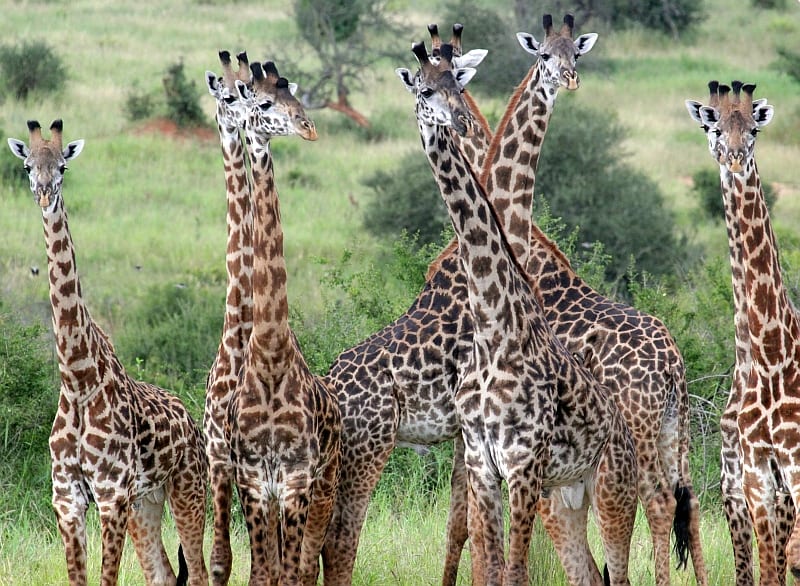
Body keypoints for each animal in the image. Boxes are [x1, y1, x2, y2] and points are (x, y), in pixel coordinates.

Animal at [8, 120, 208, 585]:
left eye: (63, 166)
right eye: (28, 166)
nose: (44, 194)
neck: (78, 378)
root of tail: (191, 422)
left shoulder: (111, 495)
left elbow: (107, 579)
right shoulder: (68, 500)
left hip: (187, 490)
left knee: (202, 570)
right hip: (146, 502)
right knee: (162, 573)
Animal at [396, 40, 637, 586]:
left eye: (458, 82)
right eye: (425, 90)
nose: (459, 120)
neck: (494, 328)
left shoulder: (523, 466)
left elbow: (513, 570)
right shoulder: (484, 465)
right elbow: (485, 562)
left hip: (613, 491)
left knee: (620, 571)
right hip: (567, 497)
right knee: (589, 574)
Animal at [435, 15, 707, 586]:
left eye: (574, 53)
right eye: (544, 55)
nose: (570, 79)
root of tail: (674, 365)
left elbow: (473, 527)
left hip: (637, 433)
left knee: (653, 504)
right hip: (677, 431)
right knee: (687, 504)